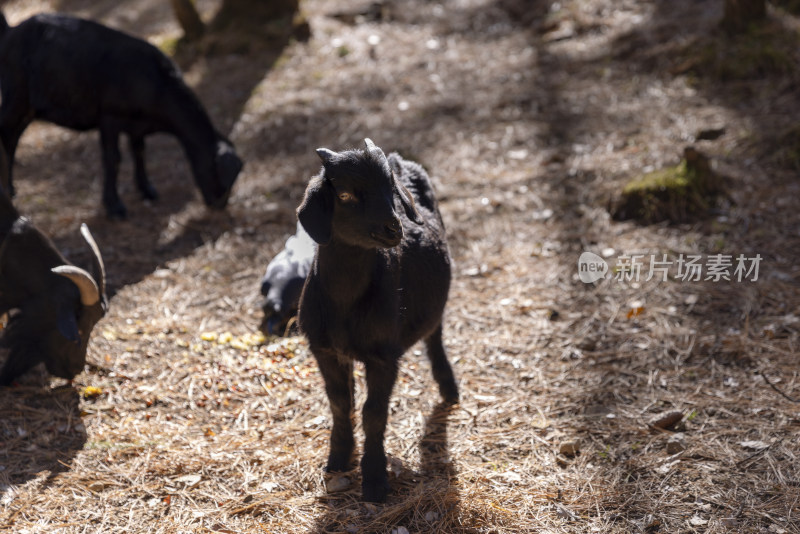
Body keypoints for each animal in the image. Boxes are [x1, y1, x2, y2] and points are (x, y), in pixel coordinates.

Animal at [0, 11, 244, 219]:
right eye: (219, 173)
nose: (219, 204)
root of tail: (10, 31)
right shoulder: (110, 117)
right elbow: (113, 159)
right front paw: (114, 207)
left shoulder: (137, 125)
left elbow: (139, 152)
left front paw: (147, 189)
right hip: (15, 95)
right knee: (5, 134)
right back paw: (6, 190)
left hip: (30, 107)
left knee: (13, 139)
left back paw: (11, 188)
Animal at [296, 138, 460, 502]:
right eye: (345, 195)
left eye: (391, 191)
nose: (394, 228)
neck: (345, 302)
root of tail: (400, 159)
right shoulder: (324, 350)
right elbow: (340, 402)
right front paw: (338, 459)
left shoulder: (384, 355)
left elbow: (374, 412)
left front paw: (373, 480)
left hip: (434, 303)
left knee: (435, 334)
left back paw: (449, 387)